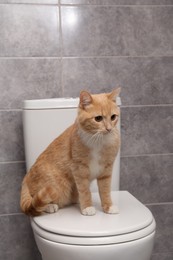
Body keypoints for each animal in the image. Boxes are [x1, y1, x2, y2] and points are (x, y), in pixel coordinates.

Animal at [20, 88, 120, 216]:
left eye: (113, 117)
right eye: (98, 118)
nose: (109, 129)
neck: (98, 141)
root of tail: (26, 178)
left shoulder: (106, 170)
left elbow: (105, 191)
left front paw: (108, 206)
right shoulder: (79, 169)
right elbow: (85, 191)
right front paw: (87, 207)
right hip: (57, 187)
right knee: (35, 200)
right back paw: (50, 206)